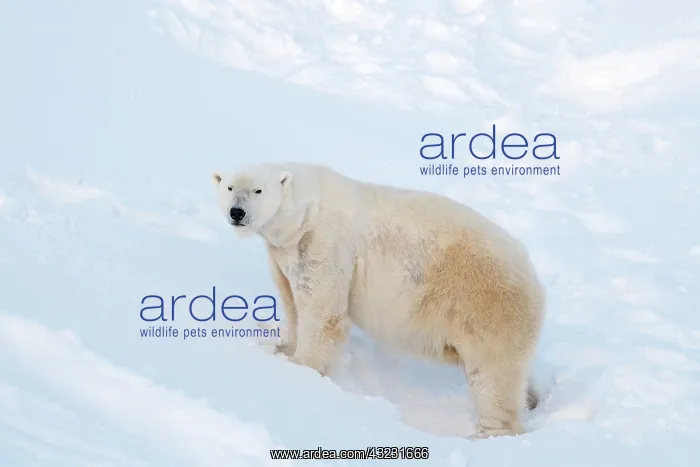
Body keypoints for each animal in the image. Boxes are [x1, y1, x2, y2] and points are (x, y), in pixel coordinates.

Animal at [211, 162, 546, 439]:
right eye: (229, 188)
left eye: (258, 190)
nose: (237, 212)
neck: (304, 210)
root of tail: (535, 282)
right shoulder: (284, 253)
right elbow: (292, 299)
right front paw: (283, 347)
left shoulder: (324, 242)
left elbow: (323, 312)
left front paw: (301, 369)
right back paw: (532, 399)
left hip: (487, 305)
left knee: (492, 377)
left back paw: (487, 433)